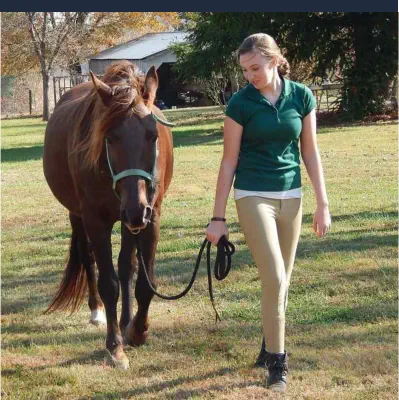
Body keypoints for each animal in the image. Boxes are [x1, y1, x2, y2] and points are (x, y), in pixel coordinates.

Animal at [43, 61, 173, 370]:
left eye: (153, 135)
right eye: (110, 137)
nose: (136, 209)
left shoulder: (151, 217)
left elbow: (143, 281)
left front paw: (138, 330)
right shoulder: (95, 220)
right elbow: (108, 283)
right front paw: (115, 348)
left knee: (126, 265)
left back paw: (126, 321)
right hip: (80, 216)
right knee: (88, 259)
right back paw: (97, 312)